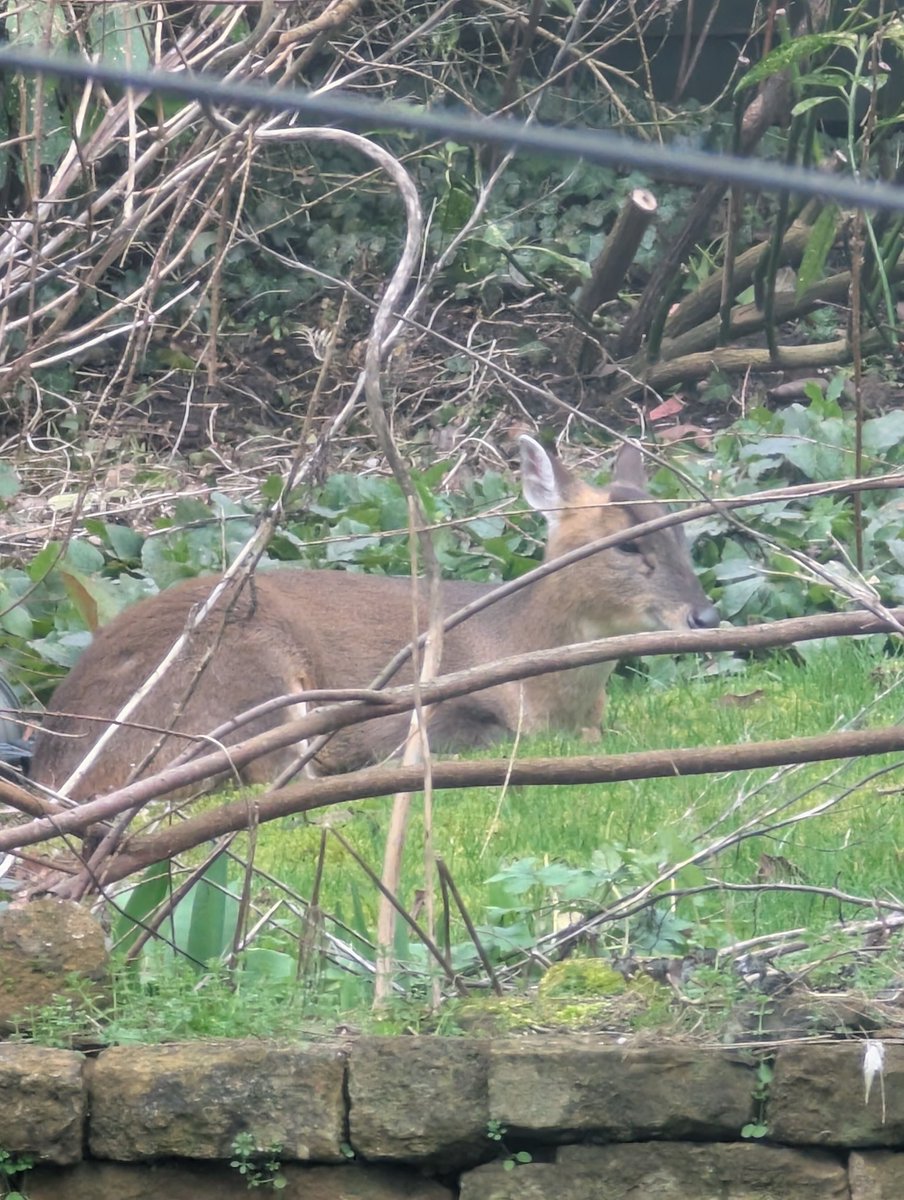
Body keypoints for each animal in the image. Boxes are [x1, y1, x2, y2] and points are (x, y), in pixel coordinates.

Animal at [30, 437, 719, 799]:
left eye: (683, 533)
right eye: (626, 545)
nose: (706, 615)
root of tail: (56, 763)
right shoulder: (426, 704)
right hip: (243, 671)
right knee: (276, 775)